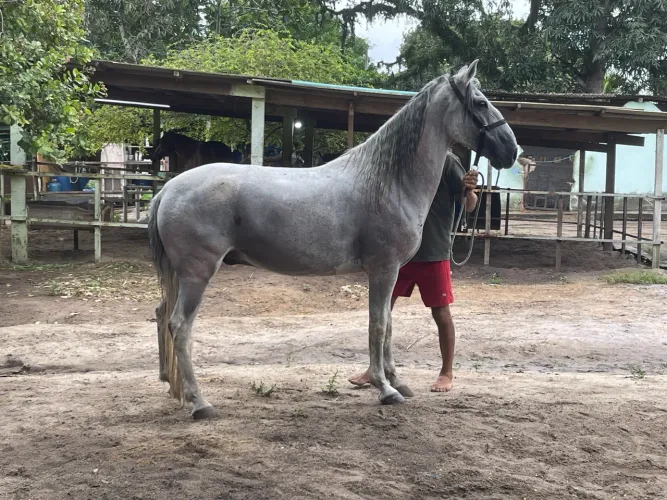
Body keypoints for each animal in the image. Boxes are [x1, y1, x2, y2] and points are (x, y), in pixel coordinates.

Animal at [148, 61, 518, 419]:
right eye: (480, 103)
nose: (511, 149)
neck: (388, 182)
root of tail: (168, 189)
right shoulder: (383, 270)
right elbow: (378, 326)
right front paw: (386, 389)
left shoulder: (392, 272)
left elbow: (387, 326)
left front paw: (396, 381)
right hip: (197, 274)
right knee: (180, 326)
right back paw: (200, 403)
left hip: (181, 276)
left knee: (163, 315)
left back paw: (172, 385)